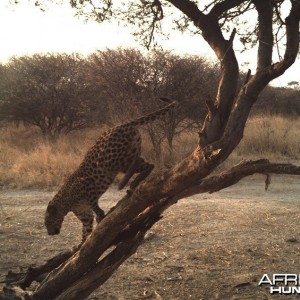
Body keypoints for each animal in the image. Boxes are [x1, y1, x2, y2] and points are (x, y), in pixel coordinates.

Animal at [44, 98, 176, 244]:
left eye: (48, 222)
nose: (49, 233)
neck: (66, 204)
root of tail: (121, 125)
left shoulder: (85, 185)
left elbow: (93, 203)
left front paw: (100, 215)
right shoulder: (85, 215)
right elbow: (86, 229)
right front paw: (80, 244)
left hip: (112, 161)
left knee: (145, 165)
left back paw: (129, 183)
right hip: (128, 153)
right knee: (145, 163)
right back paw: (130, 182)